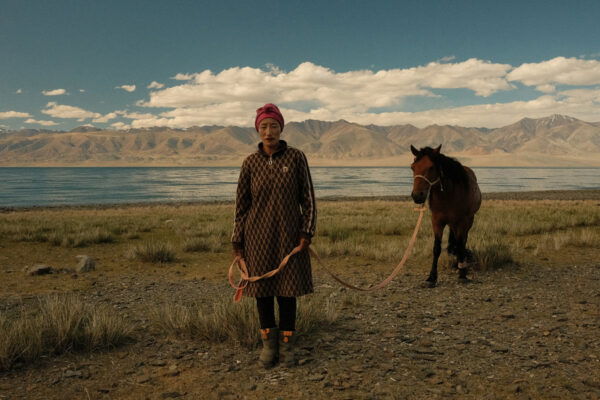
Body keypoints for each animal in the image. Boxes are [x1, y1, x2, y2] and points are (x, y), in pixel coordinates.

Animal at [410, 145, 480, 286]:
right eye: (413, 167)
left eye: (431, 167)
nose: (417, 196)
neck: (448, 195)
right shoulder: (437, 221)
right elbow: (436, 248)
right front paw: (432, 277)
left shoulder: (462, 222)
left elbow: (460, 245)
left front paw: (462, 274)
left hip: (468, 221)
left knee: (462, 242)